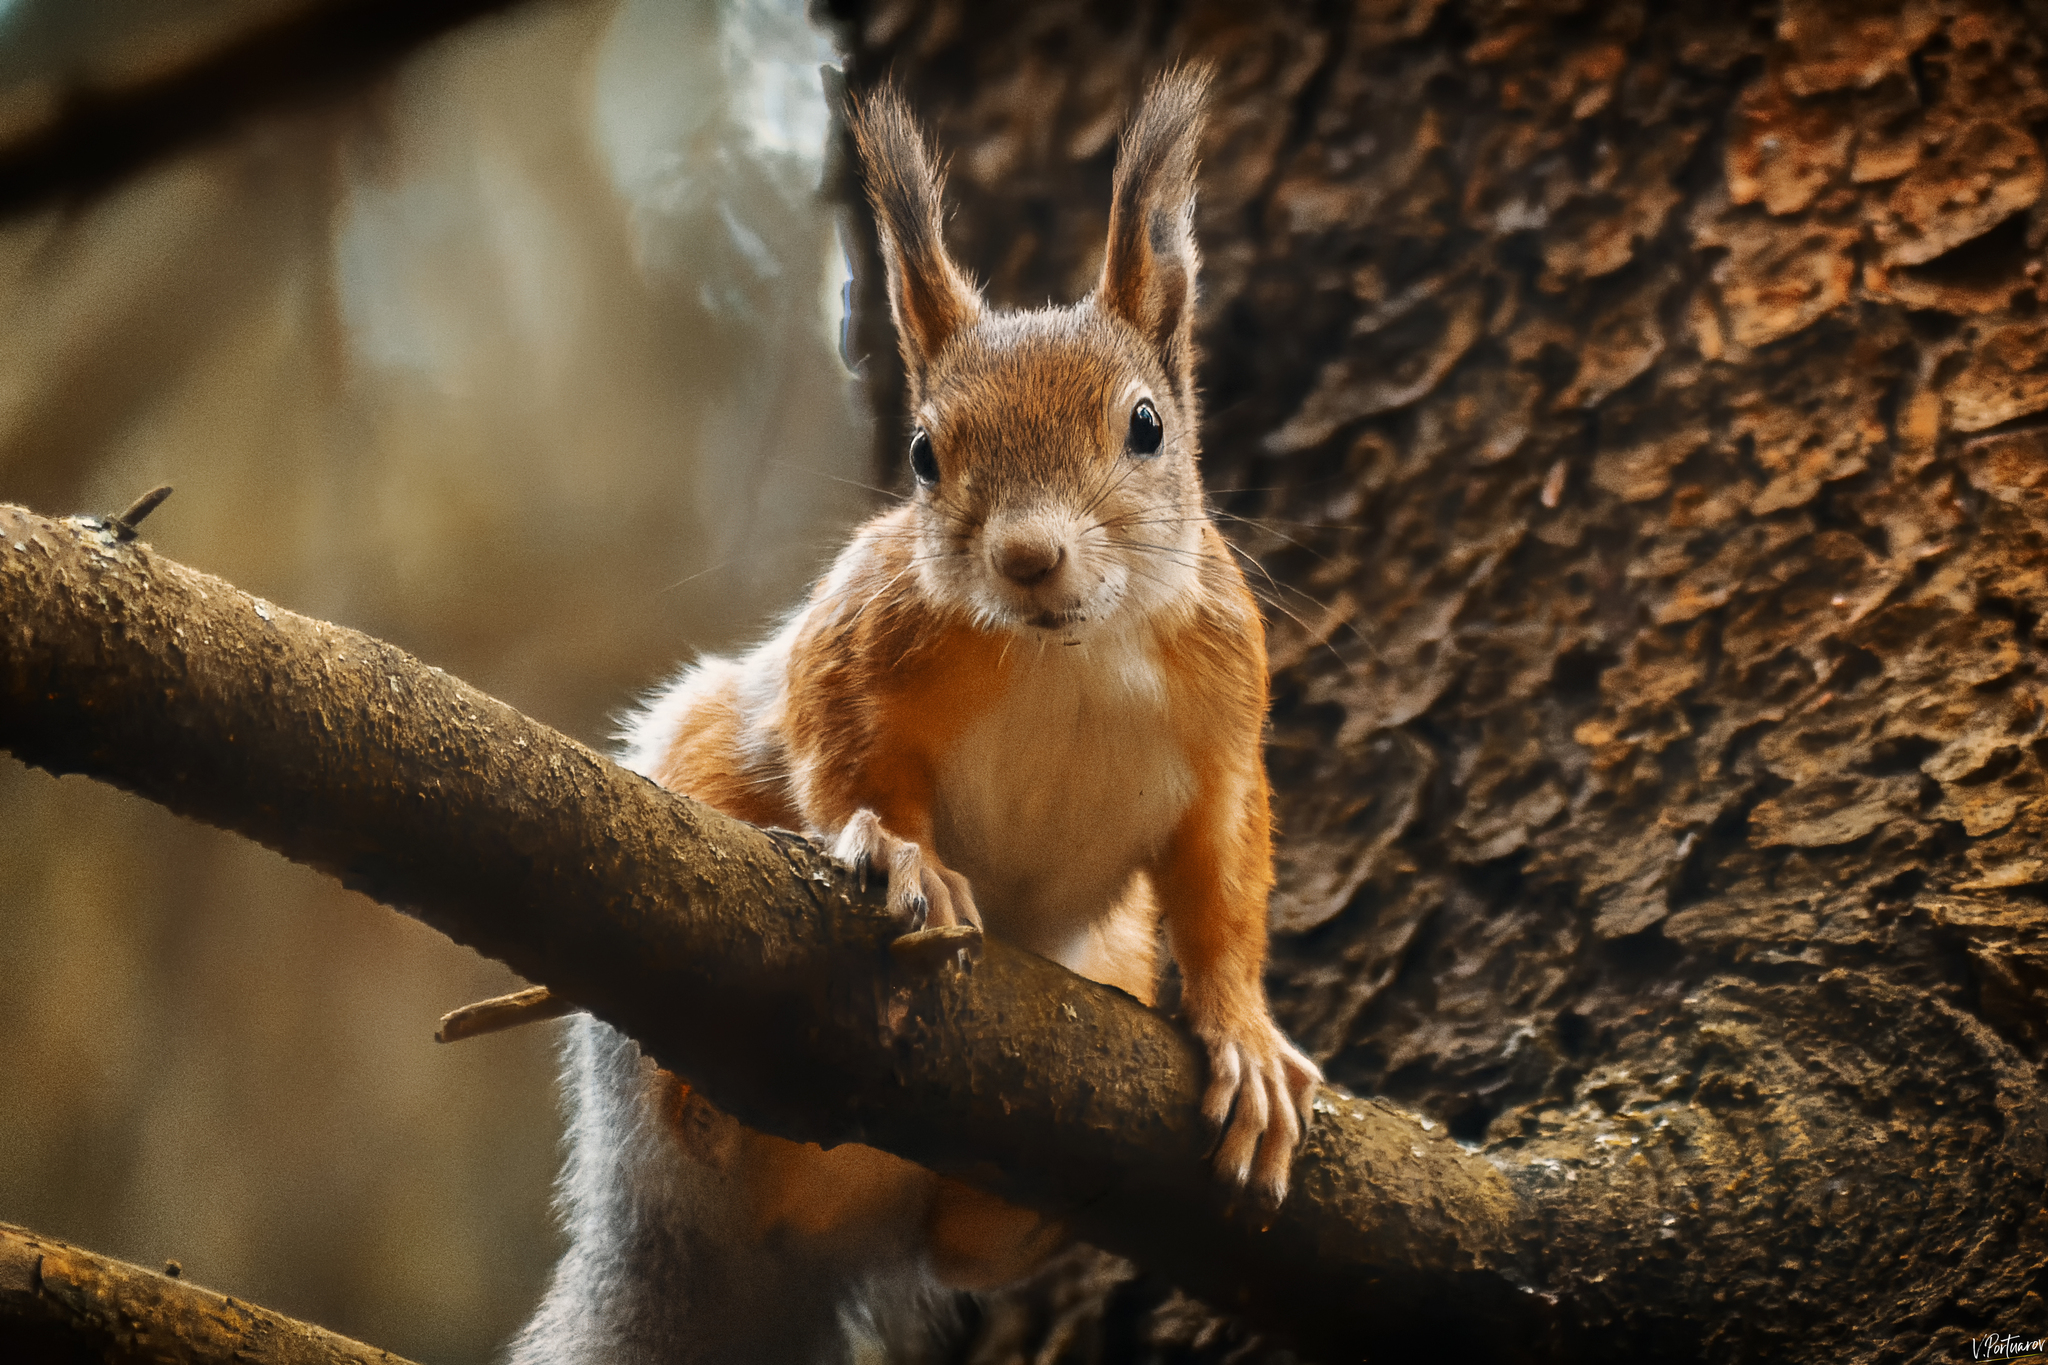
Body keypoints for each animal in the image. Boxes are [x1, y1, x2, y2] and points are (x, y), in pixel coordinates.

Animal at [503, 74, 1318, 1365]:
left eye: (1145, 426)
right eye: (926, 454)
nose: (1028, 557)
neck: (1070, 650)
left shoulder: (1225, 720)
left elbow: (1222, 880)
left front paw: (1241, 1031)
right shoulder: (854, 649)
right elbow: (840, 759)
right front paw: (897, 855)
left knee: (958, 1250)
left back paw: (1020, 1218)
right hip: (685, 809)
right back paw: (695, 1095)